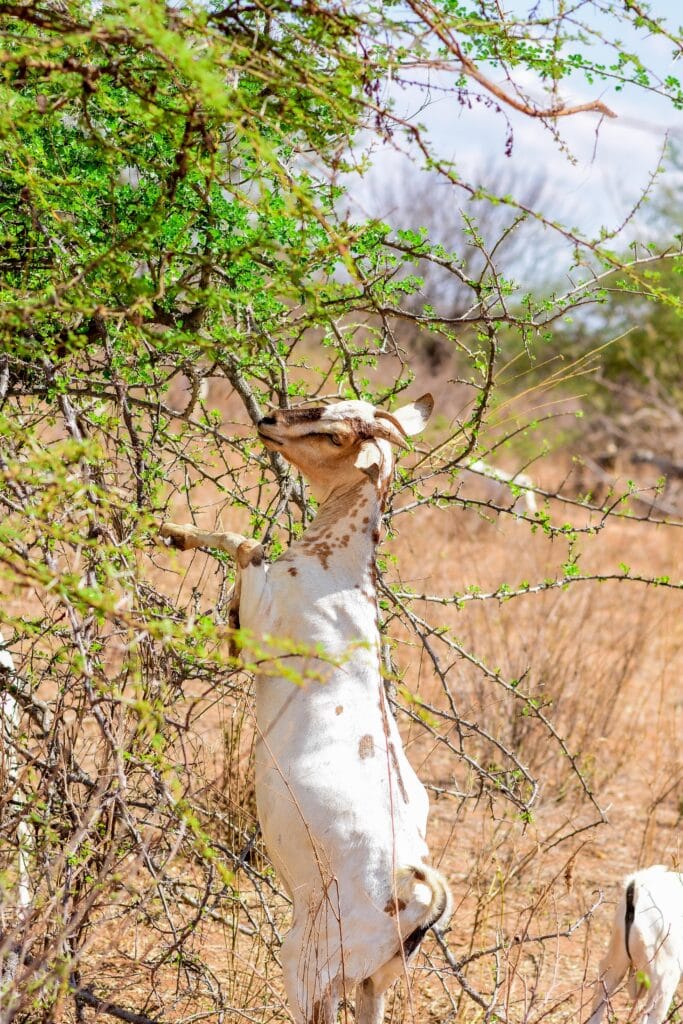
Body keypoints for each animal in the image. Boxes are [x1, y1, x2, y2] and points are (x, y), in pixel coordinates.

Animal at [159, 393, 448, 1024]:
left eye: (337, 434)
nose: (268, 422)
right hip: (375, 980)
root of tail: (415, 894)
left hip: (309, 962)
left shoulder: (261, 630)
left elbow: (247, 544)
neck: (334, 569)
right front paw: (173, 531)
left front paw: (172, 530)